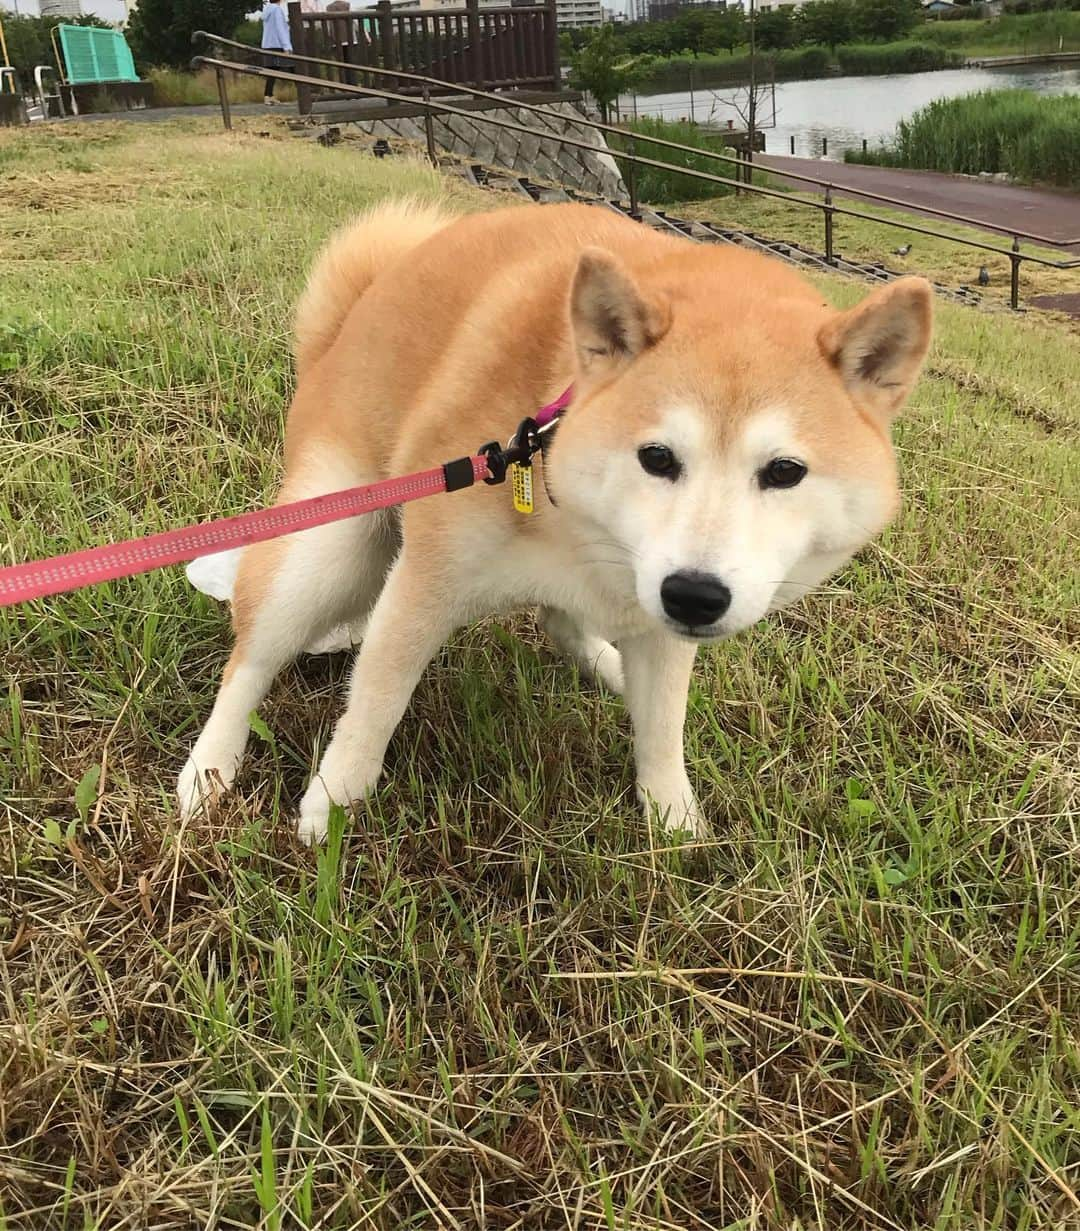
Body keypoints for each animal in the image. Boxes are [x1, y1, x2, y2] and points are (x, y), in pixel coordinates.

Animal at [181, 199, 930, 846]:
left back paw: (608, 664)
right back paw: (209, 770)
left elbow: (662, 726)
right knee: (250, 662)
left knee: (559, 620)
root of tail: (341, 331)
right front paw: (334, 804)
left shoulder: (657, 612)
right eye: (657, 457)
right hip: (331, 546)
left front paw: (674, 820)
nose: (694, 594)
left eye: (784, 471)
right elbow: (375, 702)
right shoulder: (425, 580)